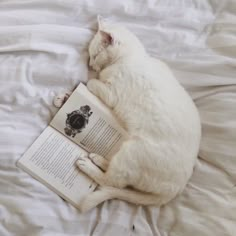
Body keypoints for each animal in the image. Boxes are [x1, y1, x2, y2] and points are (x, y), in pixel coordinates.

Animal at [56, 17, 201, 212]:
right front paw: (65, 98)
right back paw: (98, 158)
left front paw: (78, 88)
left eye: (95, 55)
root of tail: (177, 189)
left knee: (112, 182)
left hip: (132, 152)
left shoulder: (111, 93)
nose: (90, 65)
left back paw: (88, 165)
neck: (132, 58)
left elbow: (91, 82)